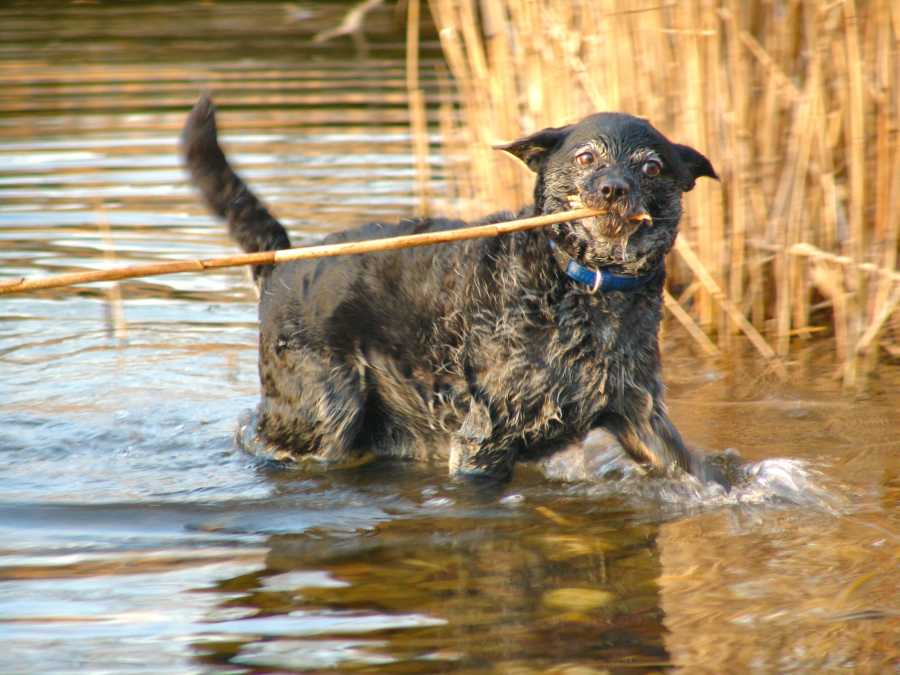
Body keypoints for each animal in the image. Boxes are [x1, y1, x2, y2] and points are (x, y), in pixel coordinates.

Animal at [181, 95, 724, 486]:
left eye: (652, 167)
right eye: (587, 156)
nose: (612, 189)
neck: (586, 286)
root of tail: (279, 263)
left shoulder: (640, 414)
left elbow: (690, 470)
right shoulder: (485, 438)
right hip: (321, 415)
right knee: (258, 434)